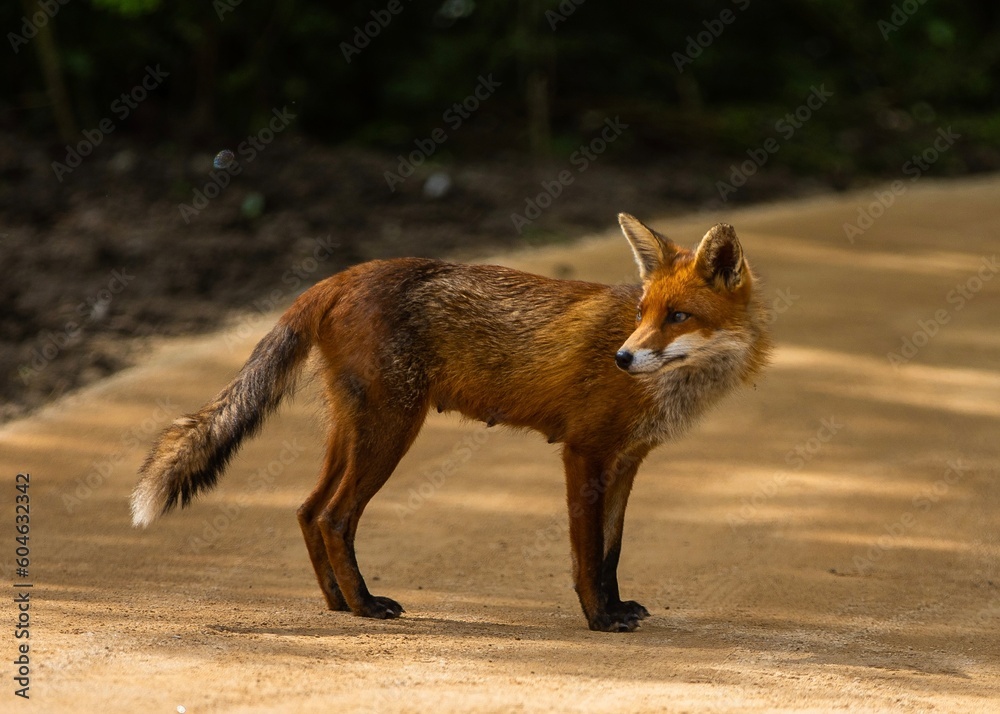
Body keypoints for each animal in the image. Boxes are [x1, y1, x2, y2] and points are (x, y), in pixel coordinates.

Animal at [131, 213, 770, 632]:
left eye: (678, 316)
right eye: (642, 313)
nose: (622, 357)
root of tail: (342, 275)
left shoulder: (626, 461)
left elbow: (611, 553)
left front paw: (616, 608)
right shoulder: (583, 452)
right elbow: (587, 555)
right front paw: (598, 619)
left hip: (355, 430)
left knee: (308, 511)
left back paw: (338, 604)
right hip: (391, 430)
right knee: (336, 516)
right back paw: (366, 606)